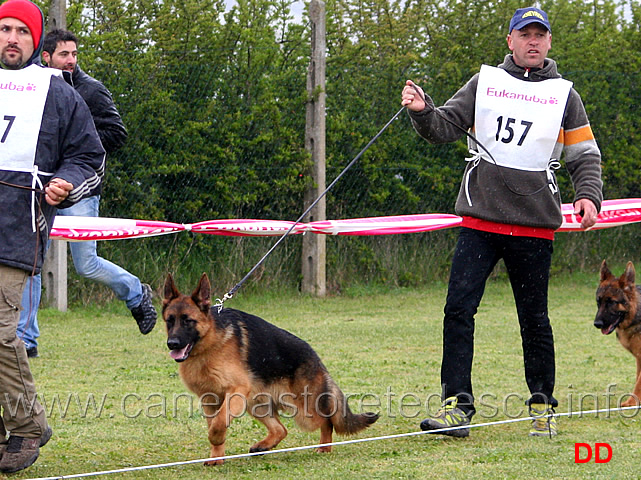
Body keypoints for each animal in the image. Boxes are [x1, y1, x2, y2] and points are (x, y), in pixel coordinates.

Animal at [162, 274, 378, 464]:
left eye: (188, 321)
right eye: (169, 320)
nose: (172, 344)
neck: (210, 342)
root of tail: (315, 358)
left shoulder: (236, 391)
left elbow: (219, 424)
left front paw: (216, 440)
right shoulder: (210, 399)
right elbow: (216, 423)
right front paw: (217, 457)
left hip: (302, 410)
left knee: (326, 421)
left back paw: (324, 447)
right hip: (256, 404)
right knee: (281, 429)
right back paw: (263, 446)